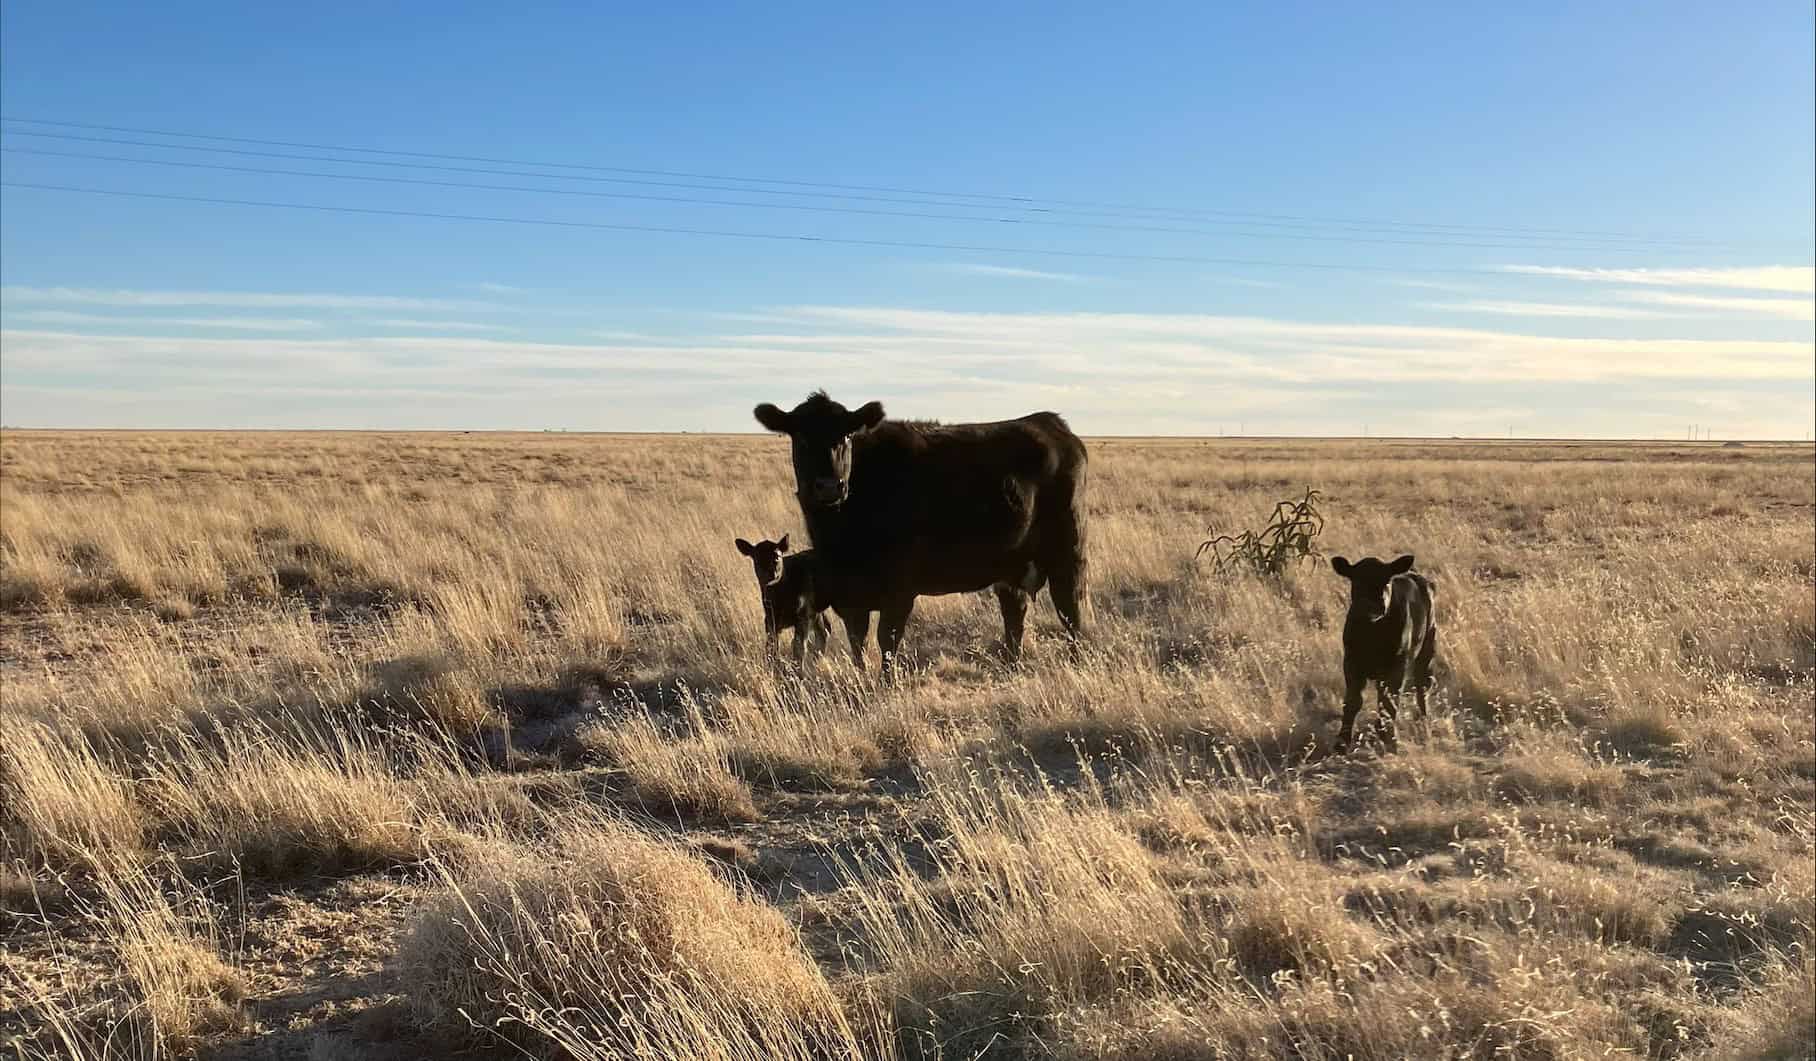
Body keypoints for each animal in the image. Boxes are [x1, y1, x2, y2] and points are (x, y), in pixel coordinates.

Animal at [748, 392, 1082, 679]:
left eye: (846, 435)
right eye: (801, 437)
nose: (830, 486)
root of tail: (1051, 423)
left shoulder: (900, 589)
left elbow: (887, 639)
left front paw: (886, 685)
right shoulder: (849, 595)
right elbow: (858, 641)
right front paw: (861, 677)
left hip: (1068, 550)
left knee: (1069, 609)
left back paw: (1076, 661)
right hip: (1010, 564)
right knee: (1014, 612)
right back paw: (1012, 665)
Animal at [1329, 555, 1438, 755]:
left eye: (1386, 580)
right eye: (1356, 580)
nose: (1373, 606)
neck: (1373, 632)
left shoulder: (1398, 664)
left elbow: (1390, 702)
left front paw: (1391, 741)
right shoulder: (1351, 662)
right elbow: (1353, 701)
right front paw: (1341, 743)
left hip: (1428, 646)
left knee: (1423, 687)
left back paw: (1424, 725)